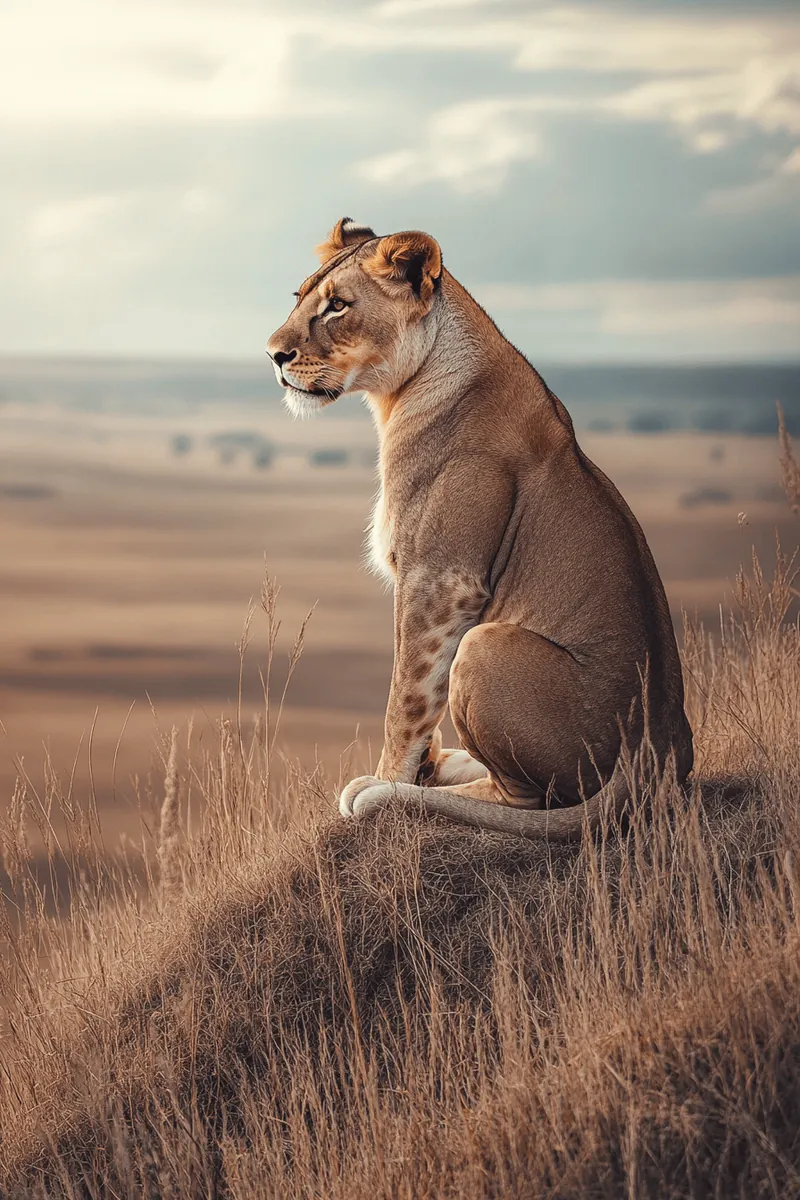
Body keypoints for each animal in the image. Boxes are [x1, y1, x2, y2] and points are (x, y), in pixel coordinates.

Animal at [266, 218, 693, 838]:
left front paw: (390, 777)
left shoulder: (440, 580)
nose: (272, 354)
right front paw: (417, 764)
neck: (399, 394)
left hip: (484, 645)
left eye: (338, 306)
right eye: (299, 298)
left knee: (526, 800)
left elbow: (406, 696)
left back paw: (424, 787)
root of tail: (658, 754)